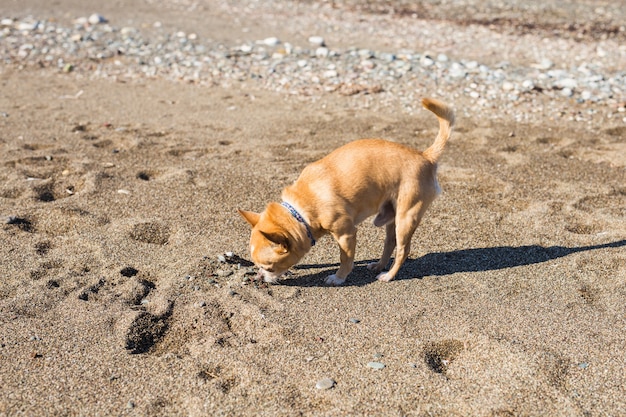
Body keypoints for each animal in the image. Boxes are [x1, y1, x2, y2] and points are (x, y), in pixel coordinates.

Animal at [239, 97, 454, 284]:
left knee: (403, 250)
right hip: (391, 215)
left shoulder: (346, 234)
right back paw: (378, 266)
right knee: (390, 243)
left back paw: (388, 275)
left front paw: (339, 278)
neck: (301, 210)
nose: (258, 278)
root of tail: (425, 156)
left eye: (269, 267)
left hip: (406, 217)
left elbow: (345, 258)